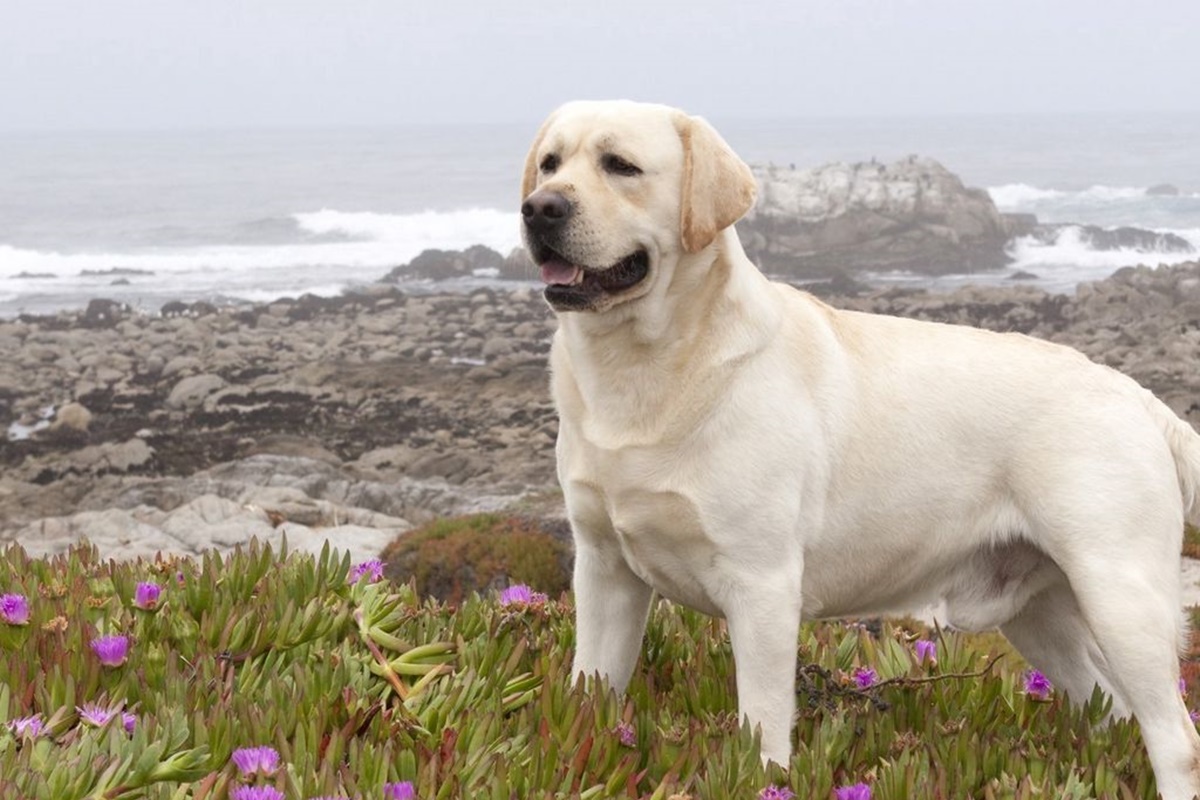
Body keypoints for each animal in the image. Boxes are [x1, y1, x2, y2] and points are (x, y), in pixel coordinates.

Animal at [520, 101, 1200, 800]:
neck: (642, 370)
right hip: (1041, 612)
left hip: (1120, 594)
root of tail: (1143, 399)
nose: (540, 209)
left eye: (620, 165)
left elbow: (763, 725)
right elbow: (591, 690)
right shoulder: (604, 570)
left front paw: (765, 779)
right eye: (550, 162)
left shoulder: (761, 584)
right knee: (1112, 710)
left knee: (1175, 737)